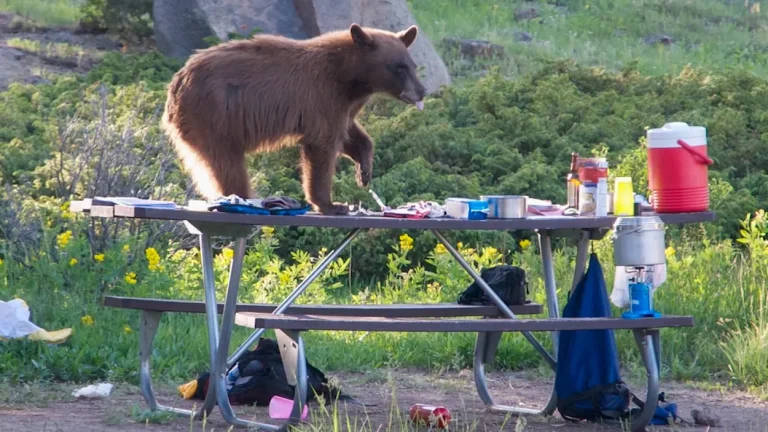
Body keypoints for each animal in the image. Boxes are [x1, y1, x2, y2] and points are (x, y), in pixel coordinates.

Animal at [161, 23, 427, 215]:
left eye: (413, 65)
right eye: (399, 67)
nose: (422, 91)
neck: (349, 77)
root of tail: (176, 84)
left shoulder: (343, 105)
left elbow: (350, 134)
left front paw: (364, 173)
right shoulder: (322, 96)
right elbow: (323, 146)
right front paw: (332, 204)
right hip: (214, 117)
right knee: (226, 164)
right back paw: (241, 199)